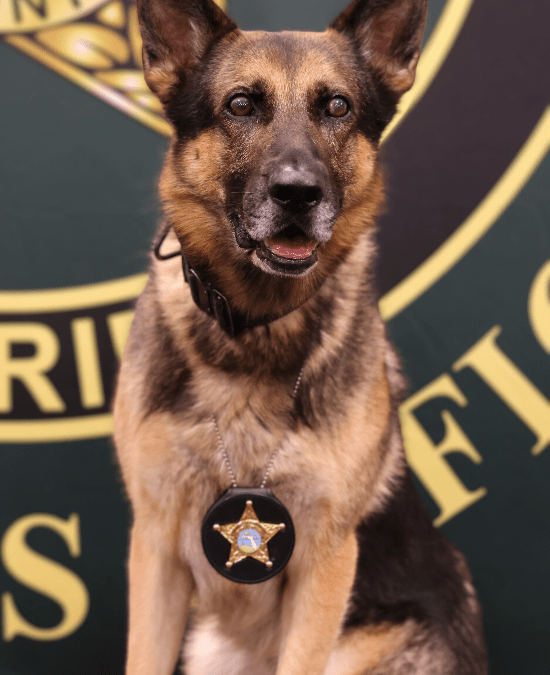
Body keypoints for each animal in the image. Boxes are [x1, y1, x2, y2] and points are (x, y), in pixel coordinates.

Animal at [112, 0, 488, 672]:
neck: (253, 327)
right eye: (240, 105)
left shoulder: (325, 561)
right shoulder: (155, 548)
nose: (297, 194)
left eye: (337, 107)